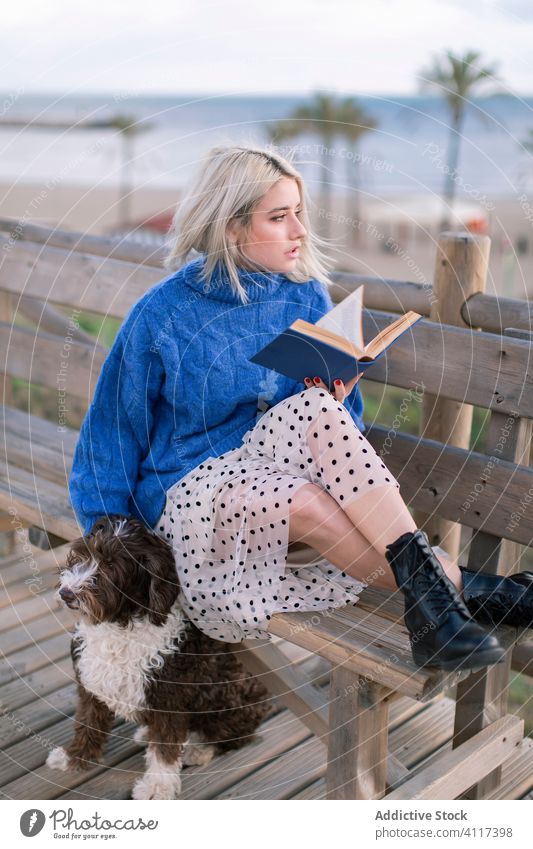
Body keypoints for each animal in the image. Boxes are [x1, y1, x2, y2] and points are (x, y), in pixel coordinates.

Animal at [45, 512, 270, 800]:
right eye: (82, 555)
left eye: (110, 565)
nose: (66, 593)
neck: (119, 624)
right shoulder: (91, 684)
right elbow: (87, 722)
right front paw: (74, 756)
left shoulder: (168, 699)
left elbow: (165, 748)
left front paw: (157, 787)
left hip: (229, 693)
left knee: (233, 735)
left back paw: (199, 748)